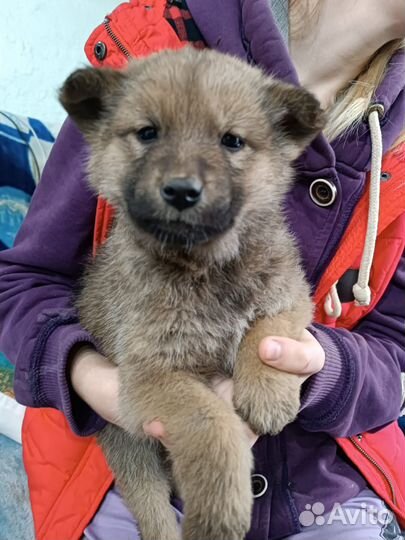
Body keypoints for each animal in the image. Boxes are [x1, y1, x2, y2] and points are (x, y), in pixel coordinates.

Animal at [60, 45, 324, 540]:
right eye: (148, 133)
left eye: (232, 141)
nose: (182, 191)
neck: (208, 268)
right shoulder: (151, 376)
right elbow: (211, 424)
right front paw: (220, 512)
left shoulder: (292, 294)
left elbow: (268, 327)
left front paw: (268, 392)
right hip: (130, 444)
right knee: (151, 505)